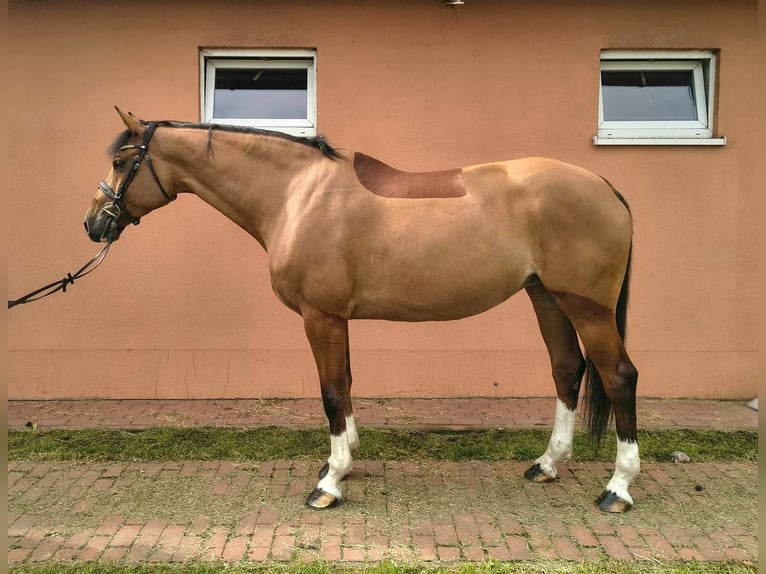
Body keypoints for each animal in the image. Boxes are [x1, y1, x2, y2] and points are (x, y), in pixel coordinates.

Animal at [85, 107, 639, 513]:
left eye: (122, 163)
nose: (93, 223)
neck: (297, 195)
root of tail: (604, 185)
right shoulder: (337, 318)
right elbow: (347, 384)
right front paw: (346, 462)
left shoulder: (320, 316)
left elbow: (331, 392)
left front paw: (328, 484)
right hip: (546, 297)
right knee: (566, 369)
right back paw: (547, 464)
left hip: (586, 307)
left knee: (618, 376)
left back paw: (618, 488)